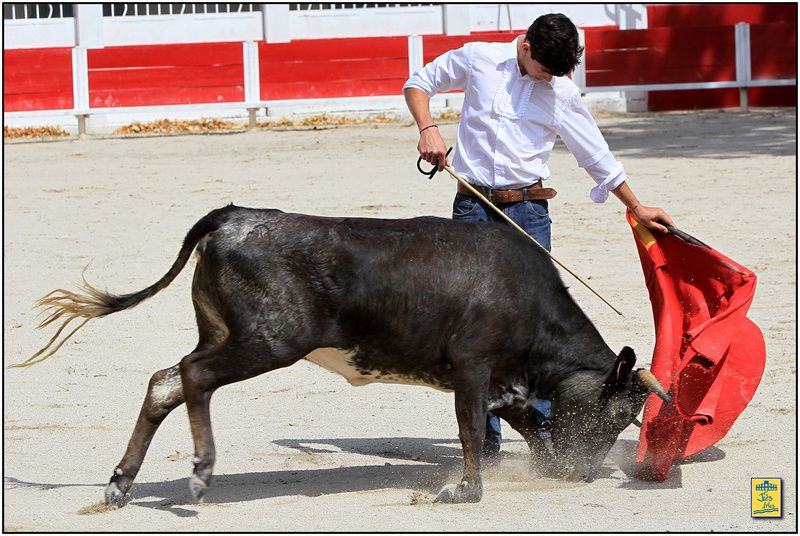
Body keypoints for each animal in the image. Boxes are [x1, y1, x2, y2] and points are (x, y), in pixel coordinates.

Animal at [20, 203, 668, 504]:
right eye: (616, 414)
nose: (584, 473)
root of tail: (234, 216)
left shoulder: (504, 384)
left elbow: (530, 426)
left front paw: (543, 468)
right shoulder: (473, 368)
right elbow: (468, 430)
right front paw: (465, 490)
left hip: (225, 334)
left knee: (164, 382)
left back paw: (121, 485)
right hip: (266, 342)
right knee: (193, 375)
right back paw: (201, 473)